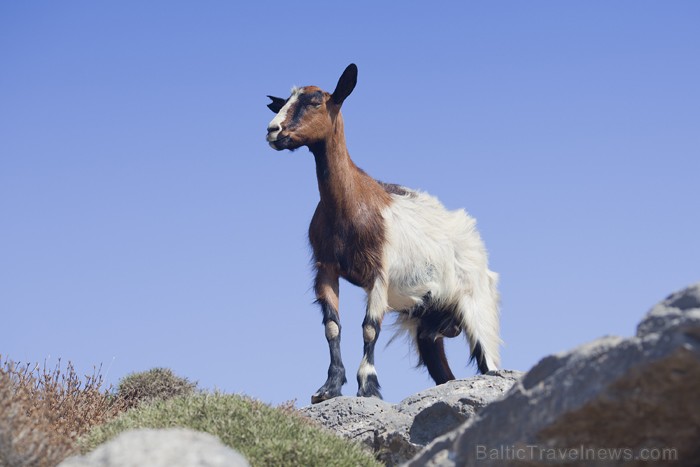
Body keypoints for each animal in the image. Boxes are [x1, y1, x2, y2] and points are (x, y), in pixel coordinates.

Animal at [266, 64, 500, 404]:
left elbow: (369, 327)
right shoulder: (326, 268)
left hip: (476, 303)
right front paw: (329, 387)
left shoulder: (379, 272)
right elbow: (332, 326)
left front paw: (368, 386)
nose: (273, 131)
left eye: (314, 102)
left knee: (489, 362)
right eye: (283, 102)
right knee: (443, 371)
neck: (350, 205)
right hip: (429, 321)